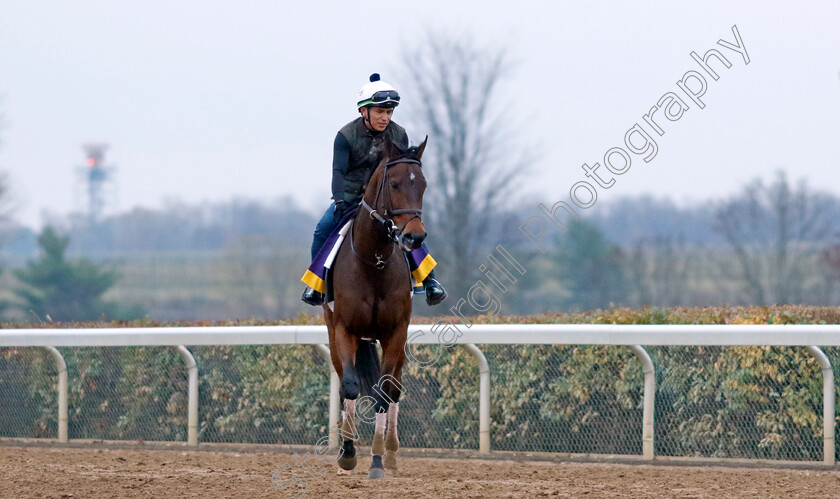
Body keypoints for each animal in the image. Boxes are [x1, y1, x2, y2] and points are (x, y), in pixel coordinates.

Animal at [324, 135, 430, 478]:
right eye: (394, 183)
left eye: (423, 184)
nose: (414, 236)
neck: (374, 261)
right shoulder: (344, 329)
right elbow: (350, 386)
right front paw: (347, 453)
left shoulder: (396, 330)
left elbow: (385, 390)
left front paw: (378, 458)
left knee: (394, 387)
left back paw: (392, 451)